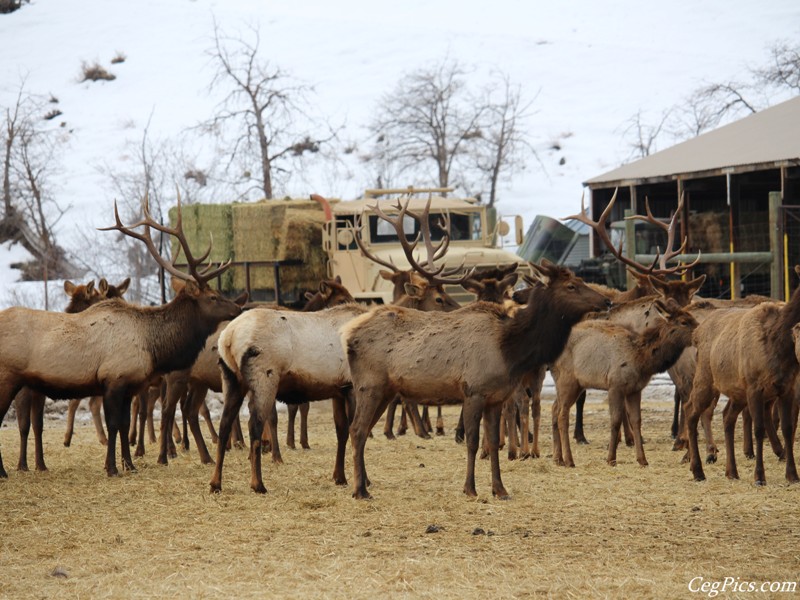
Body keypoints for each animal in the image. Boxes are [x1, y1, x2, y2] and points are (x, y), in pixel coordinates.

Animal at [0, 192, 241, 478]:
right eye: (213, 297)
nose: (238, 308)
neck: (153, 347)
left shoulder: (131, 384)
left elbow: (125, 425)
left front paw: (129, 464)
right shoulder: (114, 379)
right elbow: (114, 425)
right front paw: (112, 467)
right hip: (7, 377)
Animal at [340, 260, 608, 500]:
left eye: (581, 280)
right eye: (571, 286)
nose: (607, 300)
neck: (510, 349)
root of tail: (349, 333)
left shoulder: (495, 398)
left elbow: (494, 442)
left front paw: (500, 489)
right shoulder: (474, 392)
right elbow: (472, 441)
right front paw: (470, 488)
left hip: (384, 391)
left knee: (362, 430)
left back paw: (364, 483)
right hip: (370, 386)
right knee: (357, 429)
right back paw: (360, 490)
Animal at [552, 300, 696, 468]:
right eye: (684, 321)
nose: (700, 330)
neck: (642, 360)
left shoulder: (635, 390)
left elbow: (637, 421)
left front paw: (642, 459)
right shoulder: (615, 386)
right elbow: (615, 420)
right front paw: (611, 459)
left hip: (571, 383)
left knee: (554, 409)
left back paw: (558, 458)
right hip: (568, 380)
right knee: (562, 414)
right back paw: (569, 460)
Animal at [684, 264, 800, 486]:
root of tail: (696, 333)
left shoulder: (787, 387)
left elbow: (788, 428)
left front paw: (792, 475)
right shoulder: (755, 386)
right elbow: (759, 429)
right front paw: (759, 477)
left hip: (737, 391)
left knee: (727, 416)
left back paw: (731, 471)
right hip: (705, 378)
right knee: (690, 410)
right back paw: (698, 470)